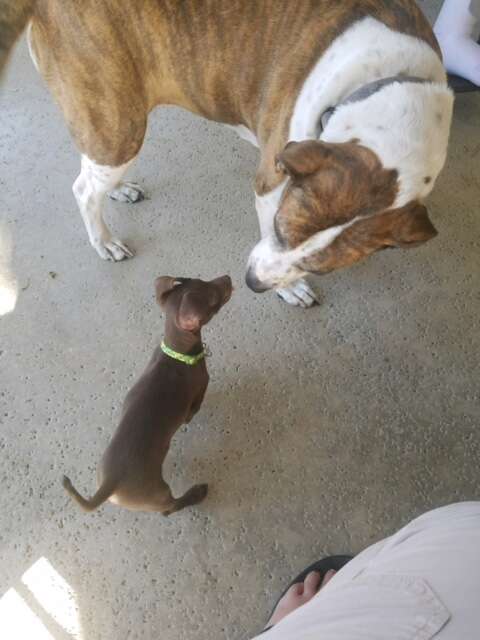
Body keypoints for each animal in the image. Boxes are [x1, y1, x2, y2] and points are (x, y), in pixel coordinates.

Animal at [0, 1, 452, 308]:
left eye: (322, 266)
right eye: (280, 229)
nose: (252, 283)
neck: (393, 83)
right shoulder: (271, 182)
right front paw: (290, 289)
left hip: (106, 127)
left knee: (92, 172)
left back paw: (117, 190)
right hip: (119, 125)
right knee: (82, 188)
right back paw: (104, 241)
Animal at [62, 276, 232, 516]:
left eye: (201, 279)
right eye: (213, 300)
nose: (227, 277)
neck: (176, 353)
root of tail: (110, 484)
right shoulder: (200, 389)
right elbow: (193, 409)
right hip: (158, 493)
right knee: (169, 508)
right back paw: (196, 494)